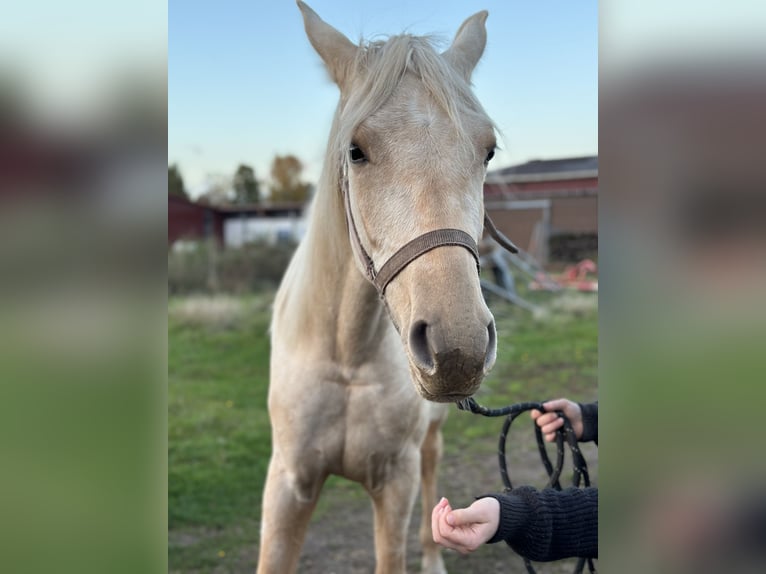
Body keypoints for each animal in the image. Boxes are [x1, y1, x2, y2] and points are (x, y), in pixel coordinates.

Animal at [258, 2, 510, 572]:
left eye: (487, 151)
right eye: (355, 150)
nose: (457, 348)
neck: (346, 355)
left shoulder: (394, 483)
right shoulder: (287, 483)